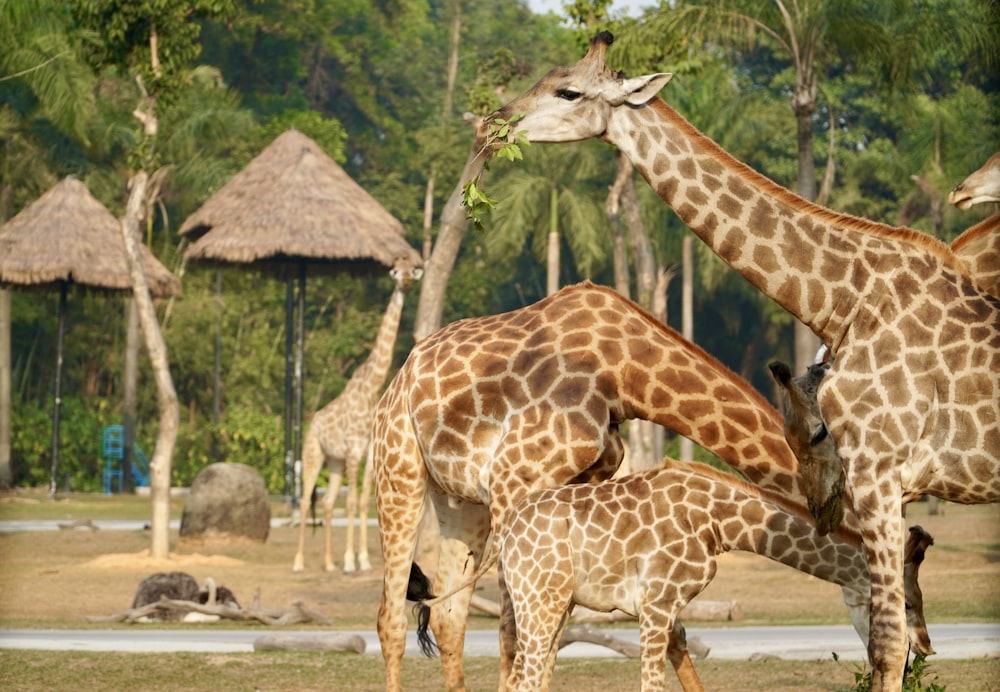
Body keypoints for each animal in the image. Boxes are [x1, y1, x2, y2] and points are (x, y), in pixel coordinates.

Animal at [292, 258, 426, 572]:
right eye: (395, 272)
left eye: (411, 270)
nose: (406, 282)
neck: (371, 386)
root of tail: (311, 423)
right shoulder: (353, 449)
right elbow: (352, 501)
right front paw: (351, 560)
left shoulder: (368, 451)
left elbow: (365, 501)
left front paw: (363, 559)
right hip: (314, 453)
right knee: (304, 501)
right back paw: (299, 561)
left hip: (335, 461)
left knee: (328, 502)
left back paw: (329, 563)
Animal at [492, 460, 928, 692]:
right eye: (907, 603)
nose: (923, 649)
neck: (719, 524)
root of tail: (508, 529)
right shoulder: (656, 602)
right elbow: (652, 684)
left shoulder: (665, 607)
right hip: (540, 601)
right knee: (525, 678)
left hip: (554, 603)